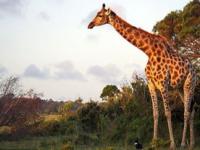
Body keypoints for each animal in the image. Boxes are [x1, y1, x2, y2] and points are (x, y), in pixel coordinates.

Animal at [88, 4, 198, 149]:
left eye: (100, 15)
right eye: (96, 13)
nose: (89, 25)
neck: (148, 51)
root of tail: (194, 69)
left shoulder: (163, 83)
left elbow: (168, 113)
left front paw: (172, 144)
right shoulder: (151, 84)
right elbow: (155, 113)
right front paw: (154, 142)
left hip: (189, 84)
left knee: (186, 112)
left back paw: (183, 143)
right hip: (179, 88)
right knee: (191, 110)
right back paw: (192, 143)